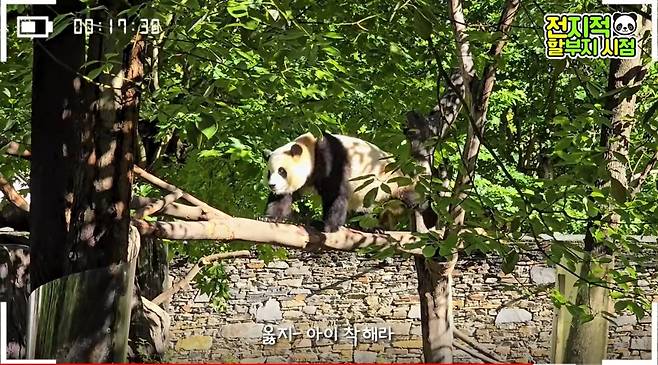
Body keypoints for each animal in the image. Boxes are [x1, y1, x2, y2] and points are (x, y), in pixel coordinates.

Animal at [262, 132, 426, 232]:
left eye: (282, 171)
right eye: (269, 172)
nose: (272, 185)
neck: (311, 148)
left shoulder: (332, 158)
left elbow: (335, 193)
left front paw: (325, 225)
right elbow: (284, 196)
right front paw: (269, 217)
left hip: (392, 182)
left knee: (408, 197)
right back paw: (372, 227)